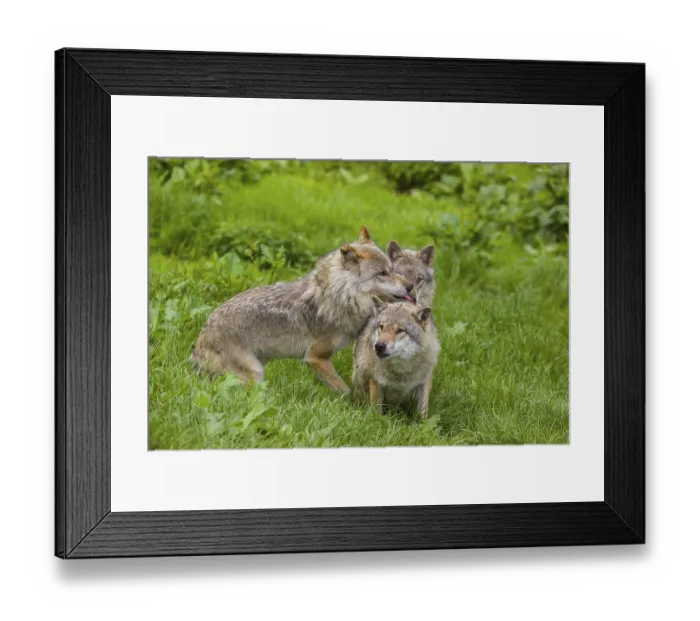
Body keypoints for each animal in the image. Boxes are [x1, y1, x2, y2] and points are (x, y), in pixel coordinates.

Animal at [191, 226, 415, 394]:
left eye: (392, 269)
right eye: (382, 273)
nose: (410, 286)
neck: (341, 297)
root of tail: (203, 334)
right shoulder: (316, 358)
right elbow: (344, 390)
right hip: (254, 374)